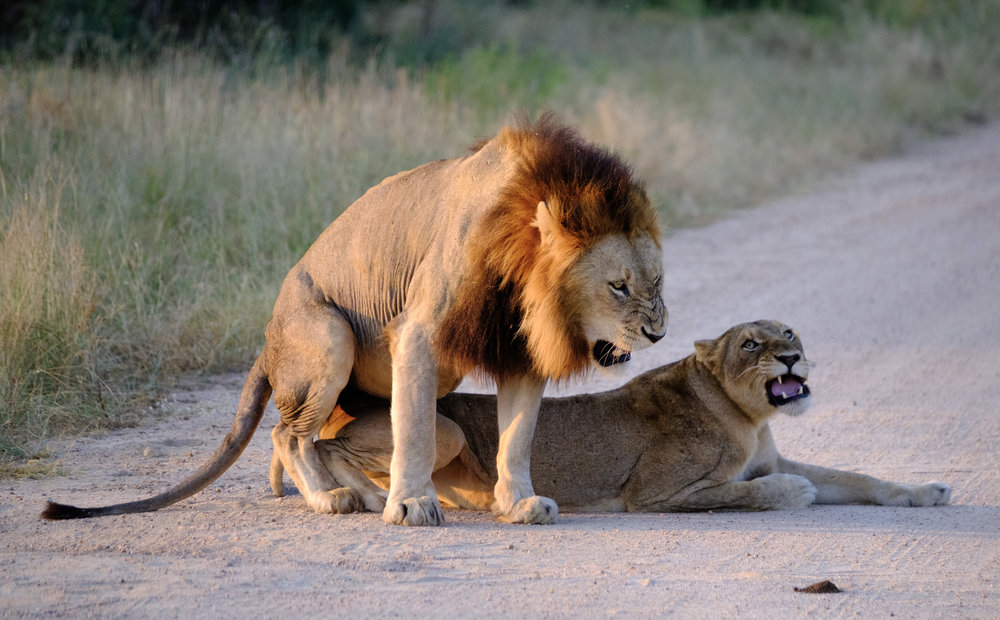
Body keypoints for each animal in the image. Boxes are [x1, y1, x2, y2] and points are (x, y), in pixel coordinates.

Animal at [41, 114, 664, 524]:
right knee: (288, 435)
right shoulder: (419, 332)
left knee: (319, 442)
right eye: (618, 286)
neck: (522, 277)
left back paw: (365, 497)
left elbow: (517, 438)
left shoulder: (518, 350)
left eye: (656, 282)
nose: (657, 333)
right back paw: (335, 499)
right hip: (328, 335)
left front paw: (517, 504)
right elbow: (412, 429)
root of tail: (266, 345)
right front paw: (411, 504)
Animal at [276, 322, 952, 512]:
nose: (791, 356)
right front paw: (794, 493)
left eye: (789, 333)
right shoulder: (656, 493)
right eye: (751, 344)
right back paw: (353, 496)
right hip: (443, 427)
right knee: (316, 444)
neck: (749, 417)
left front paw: (927, 491)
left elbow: (857, 477)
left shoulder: (772, 455)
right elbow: (747, 493)